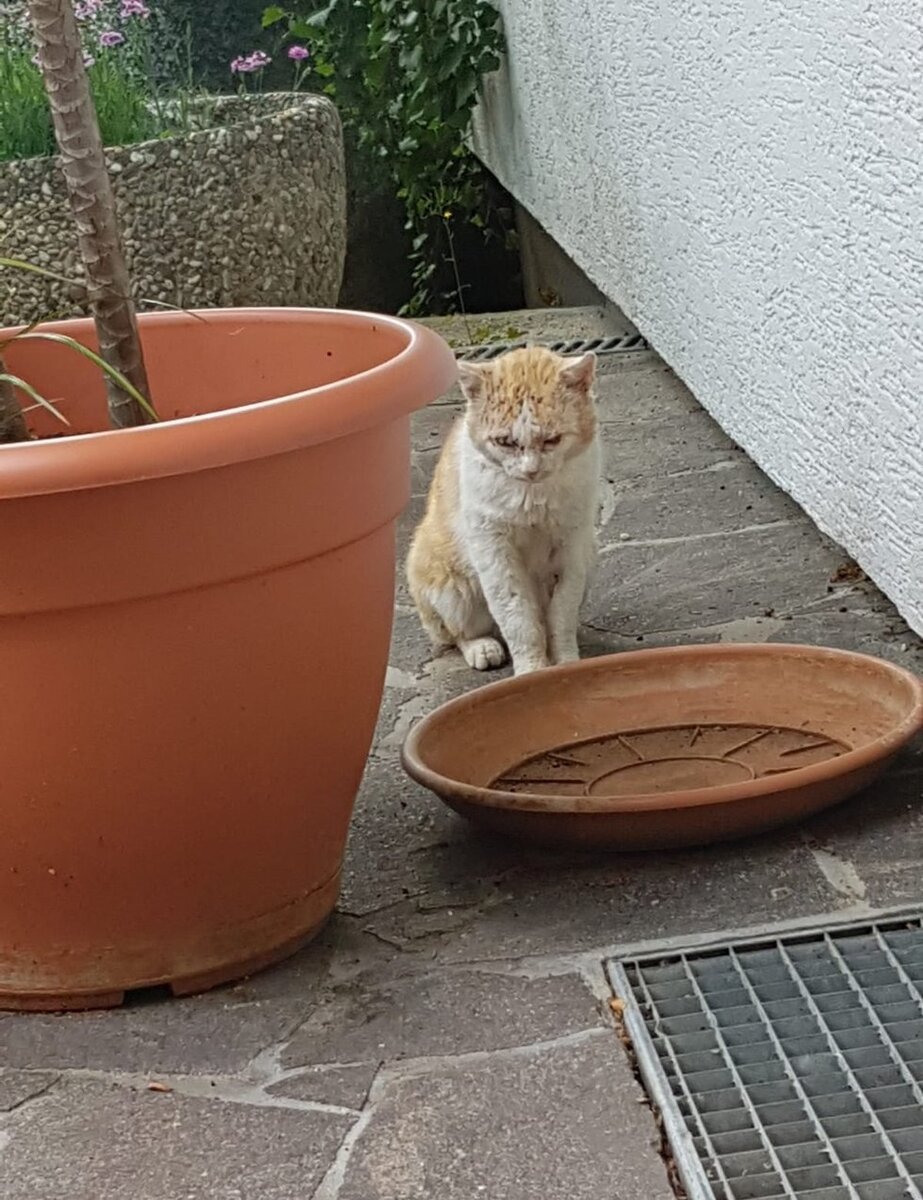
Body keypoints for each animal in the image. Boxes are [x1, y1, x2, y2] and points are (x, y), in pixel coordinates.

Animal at [408, 345, 597, 676]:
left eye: (552, 440)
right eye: (505, 442)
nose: (531, 470)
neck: (533, 498)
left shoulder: (574, 547)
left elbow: (561, 616)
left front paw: (566, 665)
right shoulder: (494, 550)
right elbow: (518, 617)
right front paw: (533, 672)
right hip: (452, 585)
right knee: (458, 633)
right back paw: (483, 648)